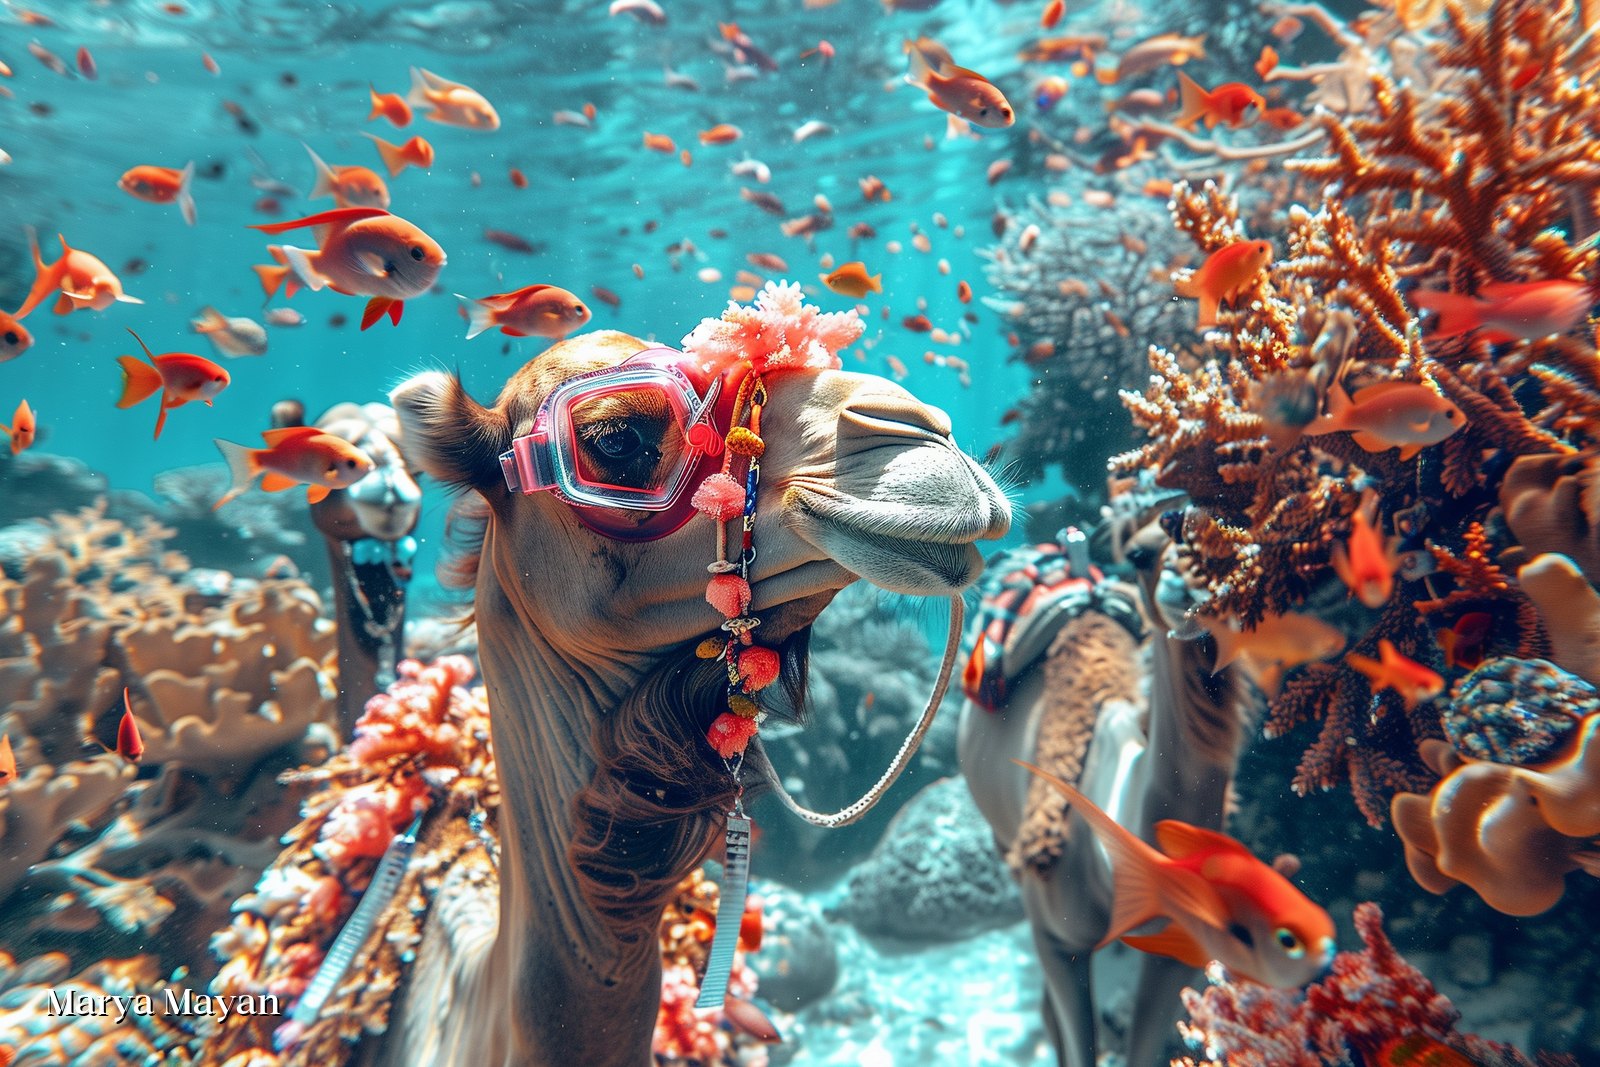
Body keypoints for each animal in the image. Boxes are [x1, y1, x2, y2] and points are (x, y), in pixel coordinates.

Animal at [959, 519, 1247, 1067]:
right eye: (1138, 554)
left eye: (1233, 550)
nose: (1191, 588)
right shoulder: (1056, 936)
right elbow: (1079, 1044)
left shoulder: (1180, 956)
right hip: (1005, 843)